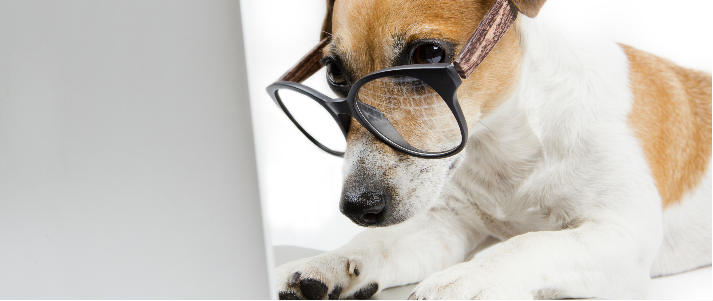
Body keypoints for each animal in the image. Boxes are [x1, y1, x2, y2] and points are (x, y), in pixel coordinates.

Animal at [272, 0, 708, 298]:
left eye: (429, 54)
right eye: (334, 73)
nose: (357, 207)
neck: (510, 143)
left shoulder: (623, 236)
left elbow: (528, 243)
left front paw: (464, 280)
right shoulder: (446, 225)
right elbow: (378, 244)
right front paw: (325, 263)